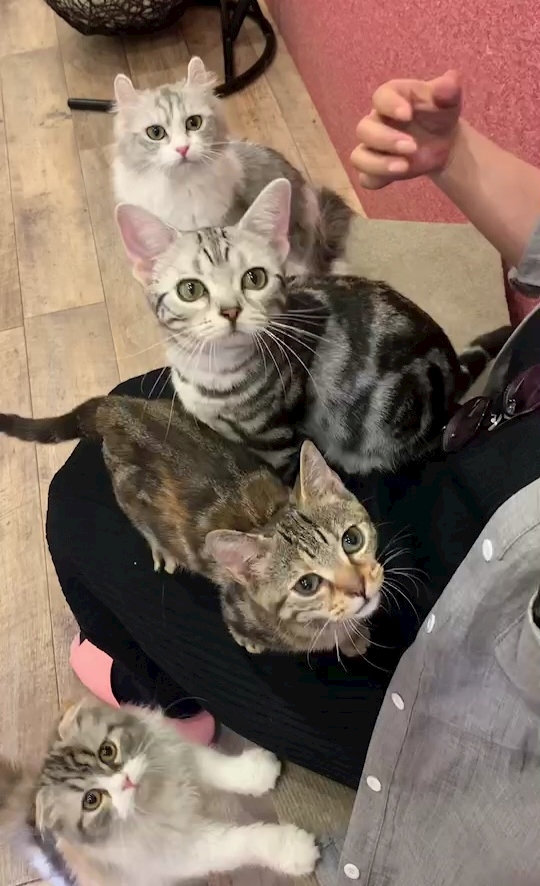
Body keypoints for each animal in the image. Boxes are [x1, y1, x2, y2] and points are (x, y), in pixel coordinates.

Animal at [0, 396, 383, 658]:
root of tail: (119, 407)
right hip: (131, 499)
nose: (360, 588)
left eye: (352, 539)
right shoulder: (233, 604)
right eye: (307, 584)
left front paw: (354, 636)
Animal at [0, 698, 319, 885]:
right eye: (92, 800)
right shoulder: (187, 848)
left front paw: (257, 771)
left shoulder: (181, 756)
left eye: (107, 751)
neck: (155, 794)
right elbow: (246, 841)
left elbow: (221, 769)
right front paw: (293, 849)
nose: (126, 781)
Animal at [115, 177, 511, 478]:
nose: (230, 311)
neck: (212, 377)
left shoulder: (279, 439)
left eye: (254, 278)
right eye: (191, 289)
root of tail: (451, 369)